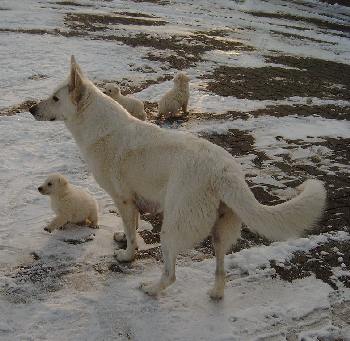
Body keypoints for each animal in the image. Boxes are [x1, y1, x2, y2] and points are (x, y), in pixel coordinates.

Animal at [29, 57, 326, 298]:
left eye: (55, 98)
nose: (31, 109)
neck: (98, 127)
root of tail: (225, 170)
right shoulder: (133, 204)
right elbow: (132, 228)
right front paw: (124, 239)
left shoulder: (124, 200)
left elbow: (132, 233)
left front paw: (127, 255)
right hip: (220, 232)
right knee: (221, 270)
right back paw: (215, 294)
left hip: (172, 227)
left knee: (171, 274)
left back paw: (151, 289)